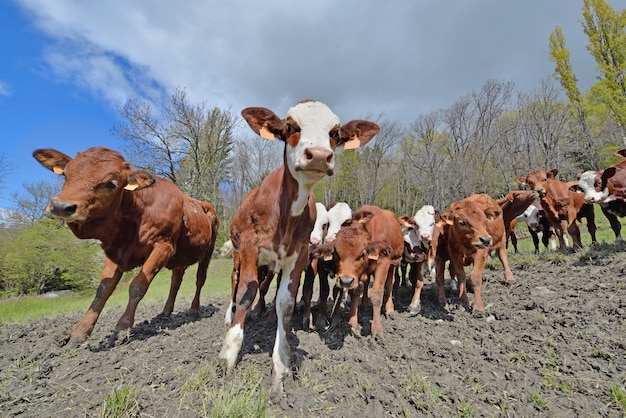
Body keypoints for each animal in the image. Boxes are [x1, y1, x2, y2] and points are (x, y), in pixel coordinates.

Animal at [34, 147, 221, 346]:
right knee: (176, 281)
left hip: (207, 252)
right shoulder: (115, 251)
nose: (61, 206)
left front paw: (121, 329)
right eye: (65, 175)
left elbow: (137, 286)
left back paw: (194, 309)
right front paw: (79, 332)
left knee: (200, 279)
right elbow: (103, 290)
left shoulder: (164, 247)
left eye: (111, 183)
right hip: (180, 257)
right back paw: (165, 312)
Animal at [218, 100, 376, 392]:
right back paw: (230, 314)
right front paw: (229, 354)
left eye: (335, 133)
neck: (286, 213)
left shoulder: (299, 255)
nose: (319, 155)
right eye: (290, 127)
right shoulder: (249, 245)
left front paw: (281, 365)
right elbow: (245, 292)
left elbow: (286, 303)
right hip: (237, 252)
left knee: (264, 283)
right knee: (236, 280)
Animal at [330, 205, 402, 336]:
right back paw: (364, 304)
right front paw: (353, 323)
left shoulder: (383, 263)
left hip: (393, 264)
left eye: (362, 253)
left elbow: (377, 293)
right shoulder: (356, 275)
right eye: (336, 252)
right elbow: (356, 292)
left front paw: (377, 329)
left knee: (389, 284)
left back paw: (389, 308)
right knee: (367, 282)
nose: (345, 281)